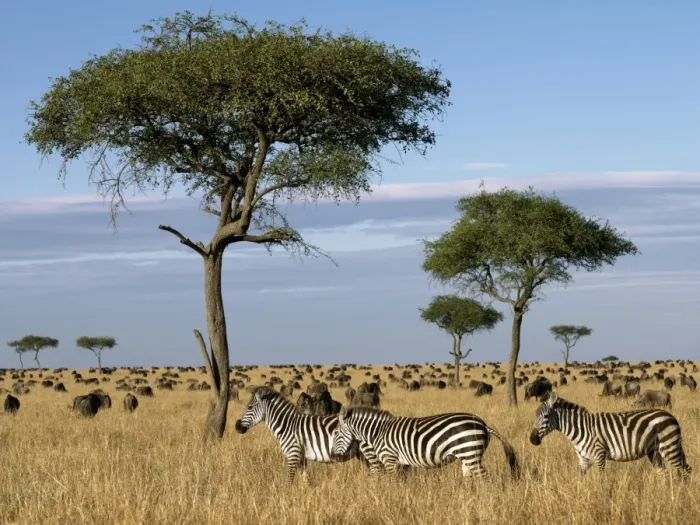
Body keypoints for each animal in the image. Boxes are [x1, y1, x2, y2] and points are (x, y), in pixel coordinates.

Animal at [235, 387, 376, 483]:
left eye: (249, 407)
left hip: (368, 450)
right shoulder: (302, 457)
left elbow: (289, 479)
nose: (237, 426)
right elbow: (305, 480)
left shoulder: (293, 454)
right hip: (362, 454)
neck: (287, 425)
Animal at [330, 405, 519, 479]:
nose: (333, 456)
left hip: (469, 452)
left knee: (483, 478)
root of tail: (483, 423)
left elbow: (393, 484)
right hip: (467, 455)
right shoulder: (403, 463)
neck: (378, 432)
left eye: (336, 433)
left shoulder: (390, 459)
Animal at [530, 391, 691, 475]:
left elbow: (602, 483)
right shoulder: (583, 461)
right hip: (654, 452)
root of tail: (670, 416)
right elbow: (579, 481)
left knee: (684, 471)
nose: (532, 440)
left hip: (670, 447)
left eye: (545, 417)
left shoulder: (600, 456)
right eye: (535, 416)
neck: (580, 430)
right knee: (664, 473)